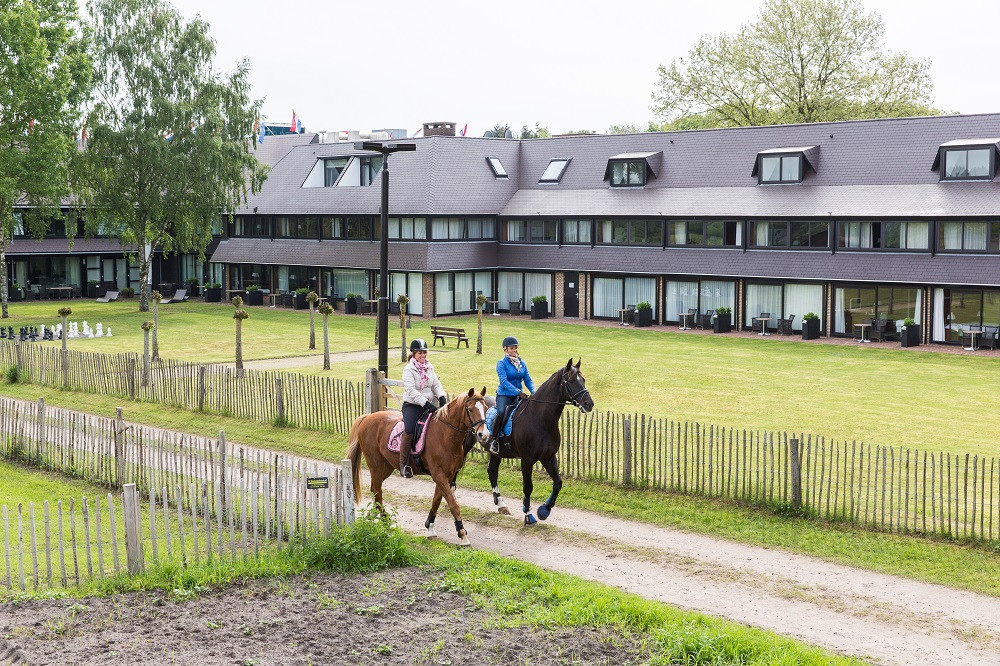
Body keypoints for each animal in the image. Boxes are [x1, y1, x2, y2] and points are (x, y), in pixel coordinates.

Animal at [346, 386, 490, 544]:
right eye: (470, 409)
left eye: (486, 408)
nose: (484, 435)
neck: (445, 435)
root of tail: (367, 417)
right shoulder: (439, 475)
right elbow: (453, 504)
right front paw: (462, 534)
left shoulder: (446, 475)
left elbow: (436, 501)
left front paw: (430, 528)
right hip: (376, 466)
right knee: (378, 493)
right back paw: (385, 522)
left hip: (385, 468)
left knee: (375, 491)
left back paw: (371, 516)